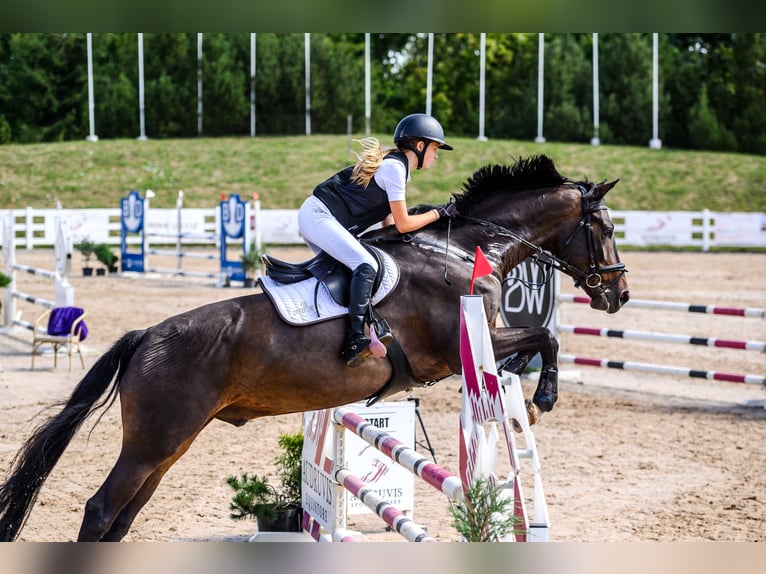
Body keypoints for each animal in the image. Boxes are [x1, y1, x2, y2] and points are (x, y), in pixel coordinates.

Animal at [0, 153, 632, 540]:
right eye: (603, 228)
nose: (619, 294)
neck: (464, 247)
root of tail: (145, 338)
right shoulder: (459, 351)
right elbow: (545, 336)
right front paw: (541, 399)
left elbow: (534, 343)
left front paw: (528, 394)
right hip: (153, 441)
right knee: (102, 510)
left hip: (169, 444)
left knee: (123, 517)